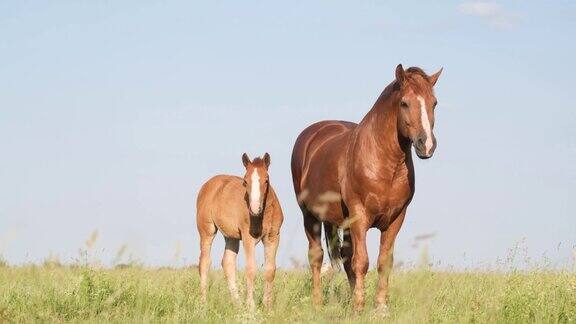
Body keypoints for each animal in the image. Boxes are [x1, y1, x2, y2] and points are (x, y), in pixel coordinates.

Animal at [196, 153, 284, 308]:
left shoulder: (273, 237)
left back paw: (237, 304)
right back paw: (203, 304)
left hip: (231, 236)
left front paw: (267, 306)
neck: (263, 215)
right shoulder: (248, 238)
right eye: (245, 181)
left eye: (266, 180)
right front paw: (251, 306)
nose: (254, 209)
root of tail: (207, 185)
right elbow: (251, 269)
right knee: (204, 263)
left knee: (228, 263)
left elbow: (270, 270)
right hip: (207, 231)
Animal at [290, 64, 444, 312]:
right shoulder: (359, 216)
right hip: (310, 216)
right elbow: (361, 262)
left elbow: (383, 262)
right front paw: (359, 306)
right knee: (317, 256)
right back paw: (318, 303)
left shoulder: (395, 219)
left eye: (434, 102)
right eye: (404, 103)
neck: (385, 165)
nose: (426, 144)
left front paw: (379, 307)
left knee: (344, 257)